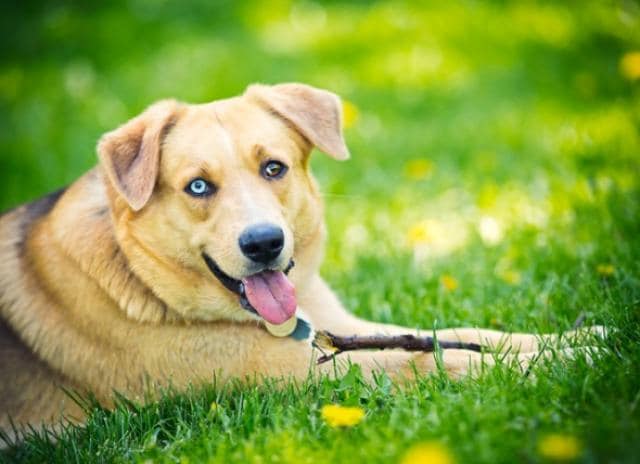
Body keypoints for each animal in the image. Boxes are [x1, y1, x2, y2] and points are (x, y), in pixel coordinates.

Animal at [0, 83, 600, 436]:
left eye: (274, 168)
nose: (264, 243)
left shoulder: (338, 326)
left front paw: (573, 340)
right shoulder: (292, 374)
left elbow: (461, 333)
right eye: (198, 186)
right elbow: (428, 360)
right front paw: (563, 361)